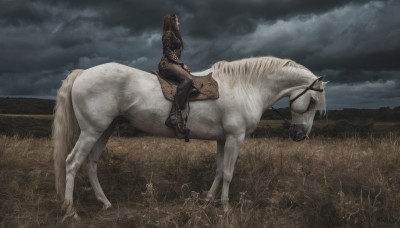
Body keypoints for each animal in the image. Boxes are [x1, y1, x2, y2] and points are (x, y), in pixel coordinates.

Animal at [53, 56, 326, 218]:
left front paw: (208, 199)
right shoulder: (235, 138)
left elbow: (219, 170)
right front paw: (225, 207)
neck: (245, 87)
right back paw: (71, 210)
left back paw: (105, 202)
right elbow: (229, 173)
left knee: (90, 164)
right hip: (91, 130)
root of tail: (83, 73)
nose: (300, 134)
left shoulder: (223, 139)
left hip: (104, 130)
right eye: (312, 101)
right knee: (72, 162)